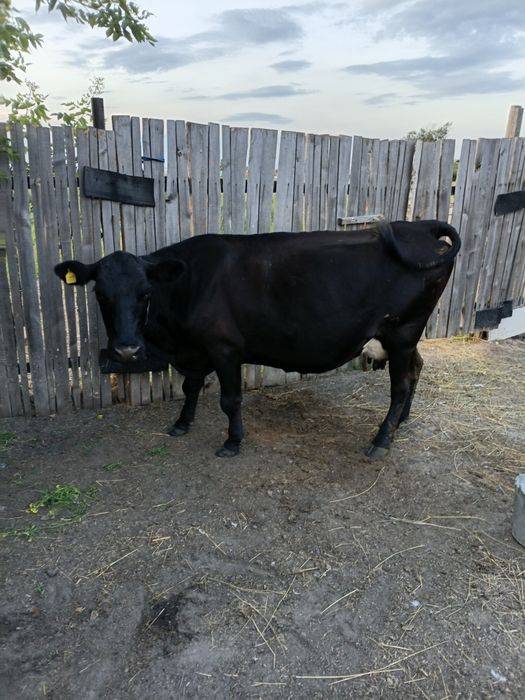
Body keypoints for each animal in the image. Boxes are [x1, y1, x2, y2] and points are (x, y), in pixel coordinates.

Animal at [55, 220, 460, 459]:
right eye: (101, 294)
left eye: (144, 293)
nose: (127, 349)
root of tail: (419, 227)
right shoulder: (195, 350)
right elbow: (190, 387)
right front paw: (182, 423)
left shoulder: (224, 348)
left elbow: (229, 399)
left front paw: (232, 442)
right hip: (407, 336)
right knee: (416, 369)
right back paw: (401, 422)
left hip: (402, 331)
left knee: (401, 383)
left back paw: (381, 439)